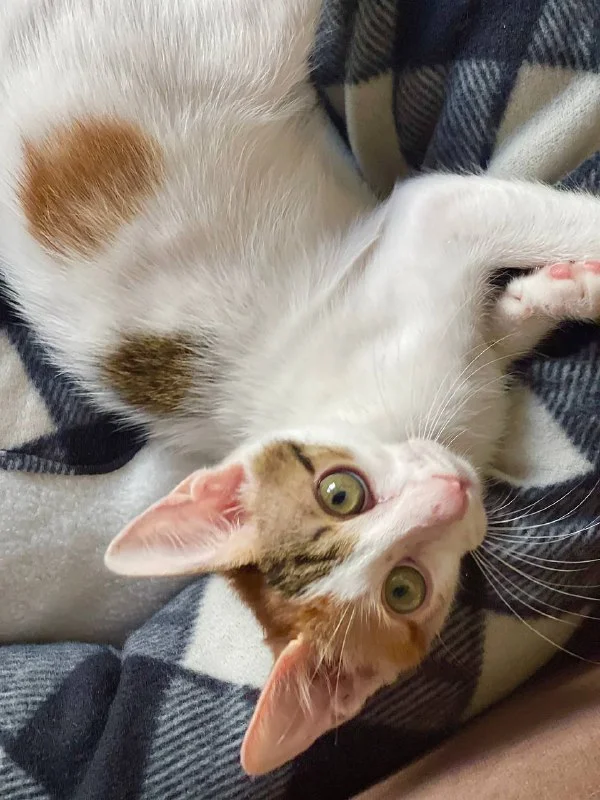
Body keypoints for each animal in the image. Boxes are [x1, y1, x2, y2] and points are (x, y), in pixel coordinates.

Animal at [3, 0, 600, 776]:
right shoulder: (428, 244)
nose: (449, 493)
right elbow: (499, 313)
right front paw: (557, 289)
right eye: (404, 589)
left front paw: (557, 285)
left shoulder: (419, 230)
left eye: (339, 492)